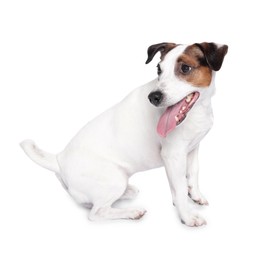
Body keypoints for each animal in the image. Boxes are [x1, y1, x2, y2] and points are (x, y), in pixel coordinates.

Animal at [20, 41, 228, 226]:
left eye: (185, 68)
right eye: (158, 70)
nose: (153, 97)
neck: (198, 111)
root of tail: (59, 160)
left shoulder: (191, 149)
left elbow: (192, 175)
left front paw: (195, 196)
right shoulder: (173, 155)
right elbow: (180, 188)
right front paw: (187, 217)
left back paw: (128, 193)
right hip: (114, 180)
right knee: (96, 213)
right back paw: (132, 212)